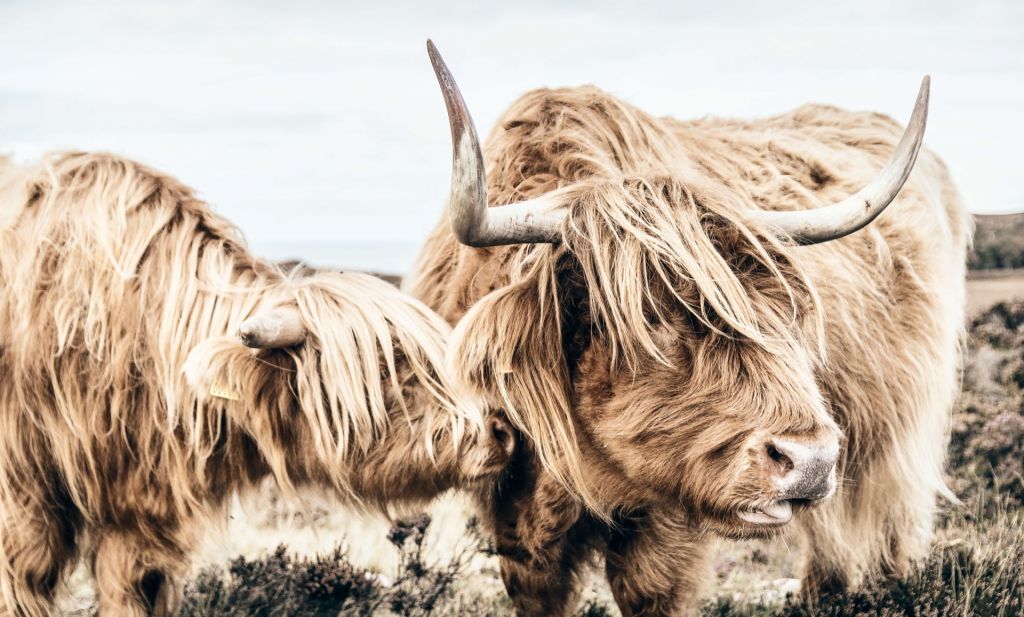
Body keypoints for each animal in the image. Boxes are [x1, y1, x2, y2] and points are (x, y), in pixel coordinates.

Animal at [0, 150, 512, 617]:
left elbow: (133, 591)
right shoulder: (22, 502)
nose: (501, 431)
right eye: (388, 369)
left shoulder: (142, 516)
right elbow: (23, 578)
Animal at [407, 43, 966, 617]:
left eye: (784, 313)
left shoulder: (665, 521)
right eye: (650, 318)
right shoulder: (513, 521)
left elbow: (650, 590)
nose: (810, 460)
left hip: (895, 428)